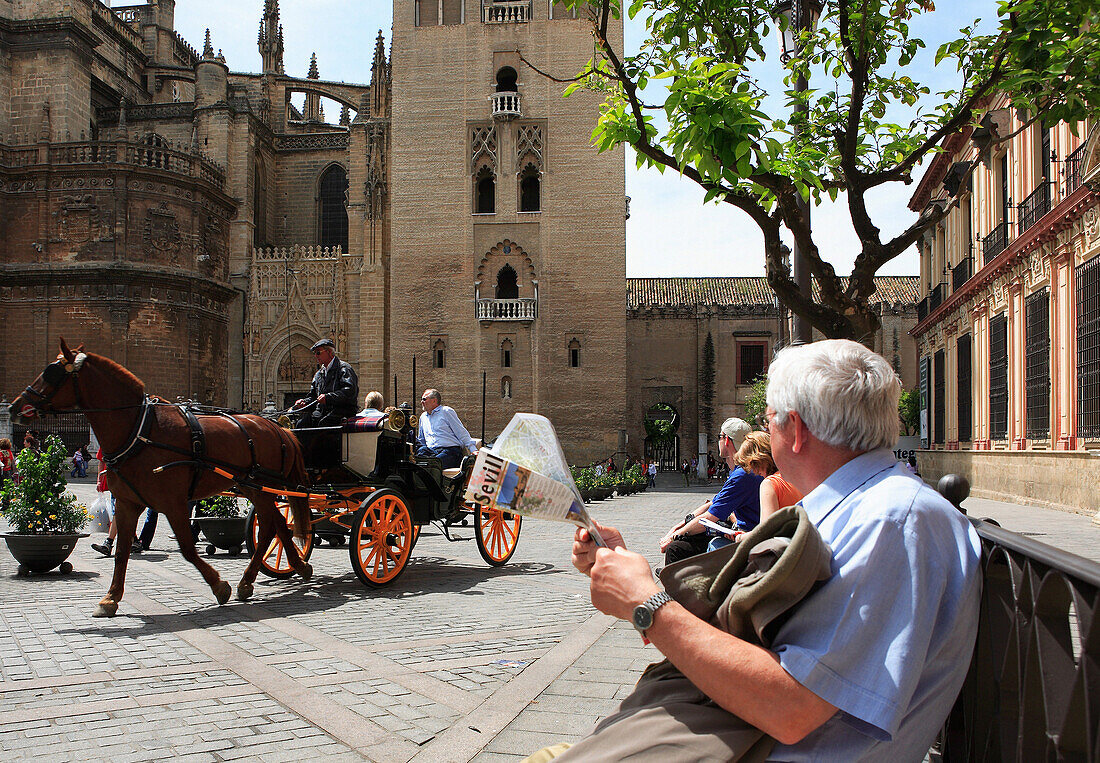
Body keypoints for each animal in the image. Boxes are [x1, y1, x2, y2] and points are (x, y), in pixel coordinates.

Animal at [11, 340, 314, 615]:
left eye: (52, 372)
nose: (14, 407)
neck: (140, 430)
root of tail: (277, 426)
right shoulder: (127, 502)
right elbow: (121, 551)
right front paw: (110, 598)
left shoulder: (173, 503)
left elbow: (188, 549)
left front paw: (219, 587)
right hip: (253, 486)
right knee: (277, 525)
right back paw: (292, 567)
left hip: (263, 486)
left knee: (270, 528)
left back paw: (252, 579)